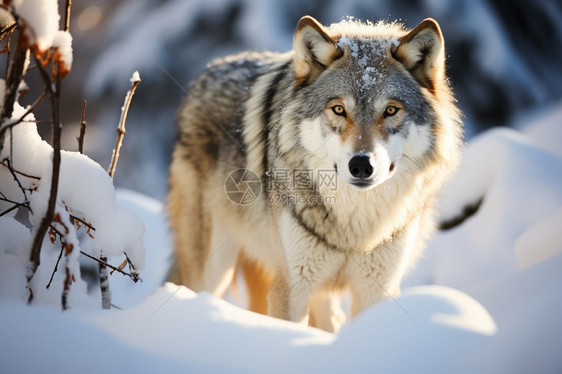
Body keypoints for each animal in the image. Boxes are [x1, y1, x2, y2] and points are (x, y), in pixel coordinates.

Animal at [168, 14, 462, 332]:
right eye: (338, 109)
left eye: (391, 110)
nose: (361, 165)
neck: (355, 228)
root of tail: (207, 71)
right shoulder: (291, 287)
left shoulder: (376, 291)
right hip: (213, 270)